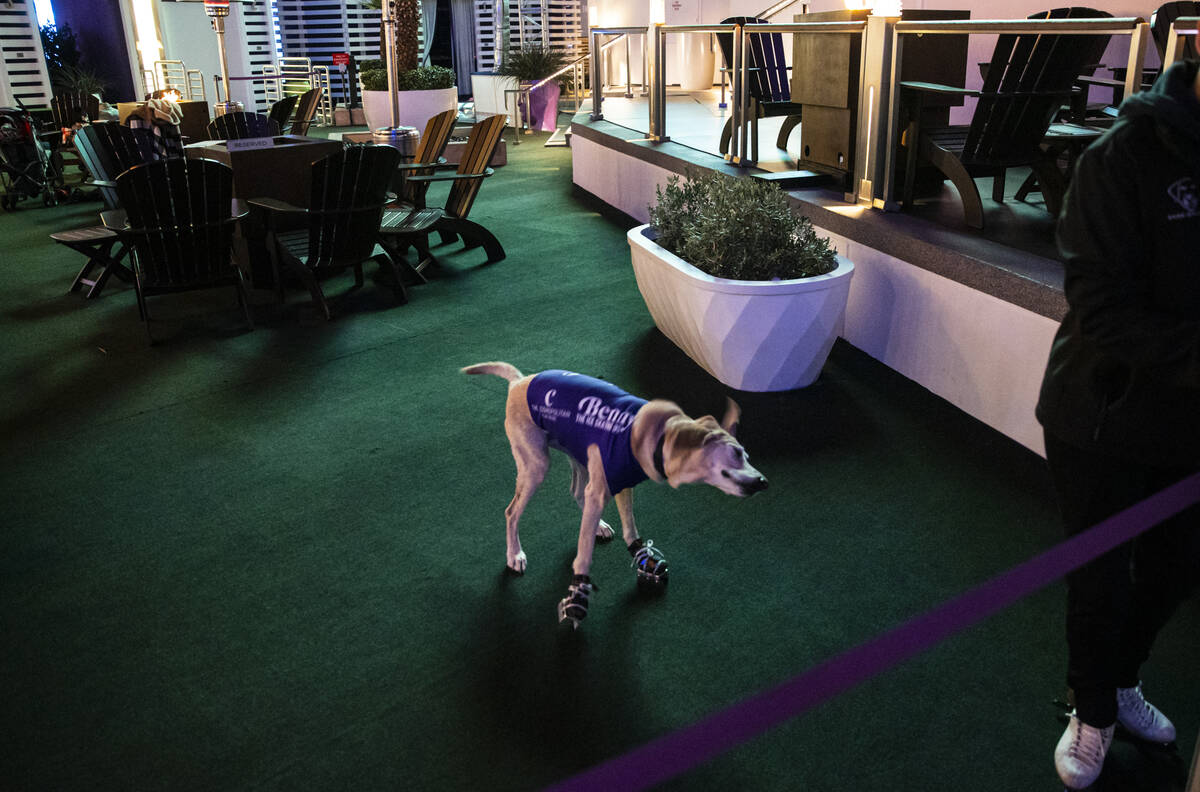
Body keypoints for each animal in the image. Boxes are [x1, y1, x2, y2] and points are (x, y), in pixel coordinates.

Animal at [460, 362, 768, 628]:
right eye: (737, 453)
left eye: (746, 454)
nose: (764, 482)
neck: (659, 437)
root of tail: (519, 382)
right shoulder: (603, 487)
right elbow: (584, 555)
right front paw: (578, 594)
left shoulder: (620, 482)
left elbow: (630, 527)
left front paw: (643, 557)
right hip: (536, 465)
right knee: (512, 511)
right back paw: (514, 554)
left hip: (577, 451)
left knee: (576, 491)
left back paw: (598, 525)